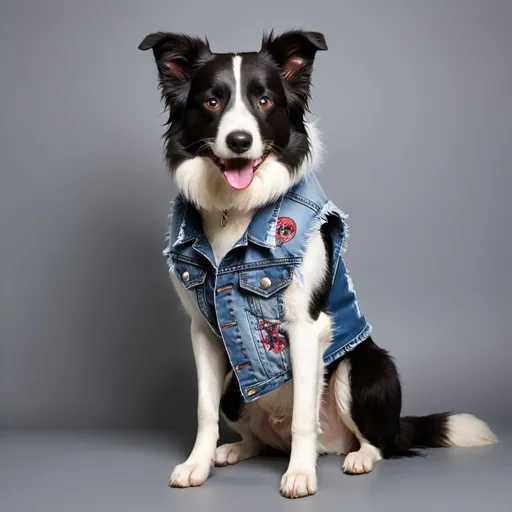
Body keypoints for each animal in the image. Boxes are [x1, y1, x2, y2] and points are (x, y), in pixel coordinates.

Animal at [138, 30, 498, 498]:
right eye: (212, 102)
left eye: (264, 101)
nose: (239, 141)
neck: (236, 209)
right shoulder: (203, 331)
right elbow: (203, 410)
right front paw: (197, 464)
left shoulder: (305, 328)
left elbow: (303, 418)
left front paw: (300, 474)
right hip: (236, 388)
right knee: (259, 437)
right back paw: (233, 449)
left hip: (363, 368)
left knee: (378, 442)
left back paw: (358, 456)